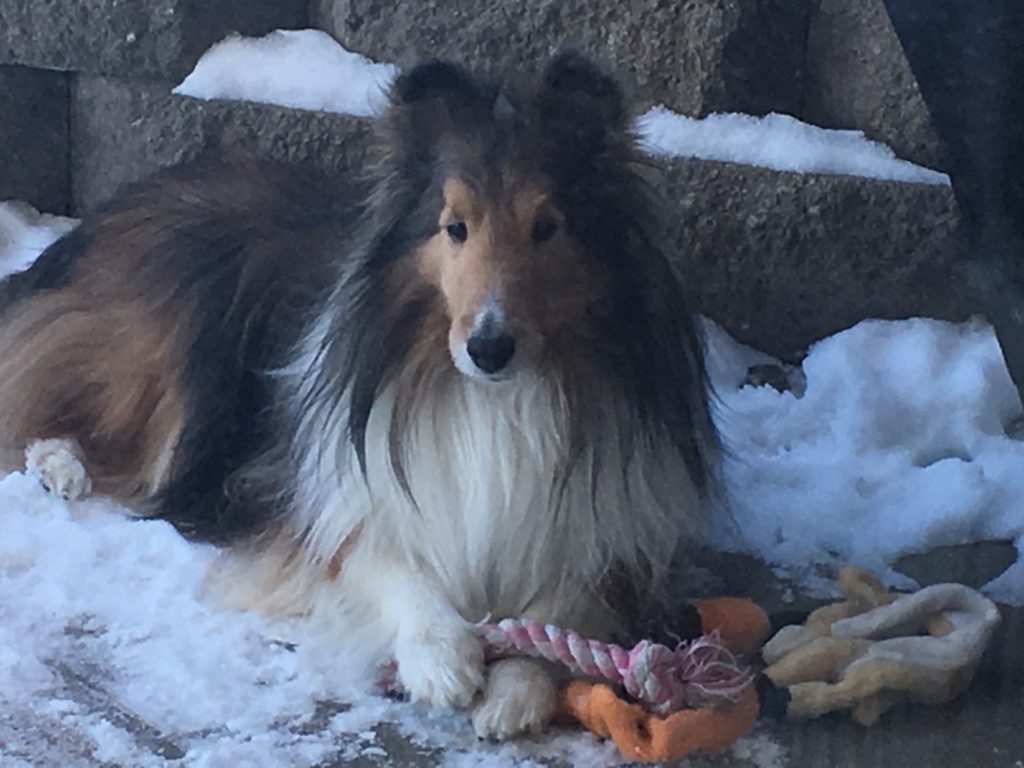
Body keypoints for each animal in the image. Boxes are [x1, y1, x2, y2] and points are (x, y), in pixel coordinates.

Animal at [0, 54, 720, 741]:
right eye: (455, 227)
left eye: (547, 227)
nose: (488, 348)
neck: (495, 401)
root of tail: (119, 203)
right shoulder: (329, 507)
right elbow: (389, 562)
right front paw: (440, 656)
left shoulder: (613, 548)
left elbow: (557, 612)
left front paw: (517, 688)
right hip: (156, 358)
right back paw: (60, 466)